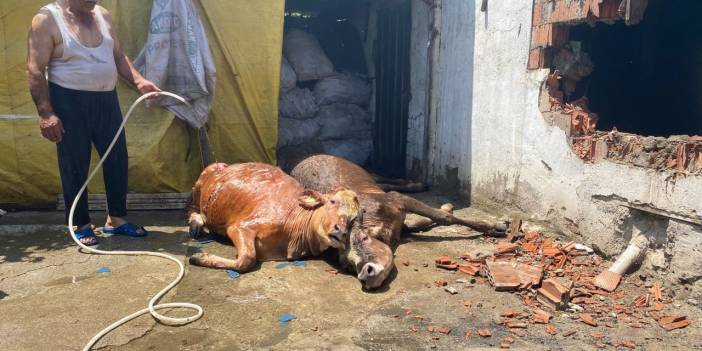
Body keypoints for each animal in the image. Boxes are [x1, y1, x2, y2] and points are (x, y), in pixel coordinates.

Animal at [187, 163, 368, 272]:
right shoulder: (240, 226)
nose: (341, 231)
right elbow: (247, 258)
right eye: (332, 201)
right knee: (193, 208)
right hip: (203, 177)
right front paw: (198, 257)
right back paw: (195, 225)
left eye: (352, 219)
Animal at [288, 155, 508, 290]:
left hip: (366, 172)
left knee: (385, 178)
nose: (366, 274)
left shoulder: (397, 201)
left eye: (364, 238)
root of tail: (301, 161)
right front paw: (447, 207)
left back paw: (417, 183)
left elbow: (441, 217)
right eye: (347, 265)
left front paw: (495, 226)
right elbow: (422, 223)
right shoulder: (401, 225)